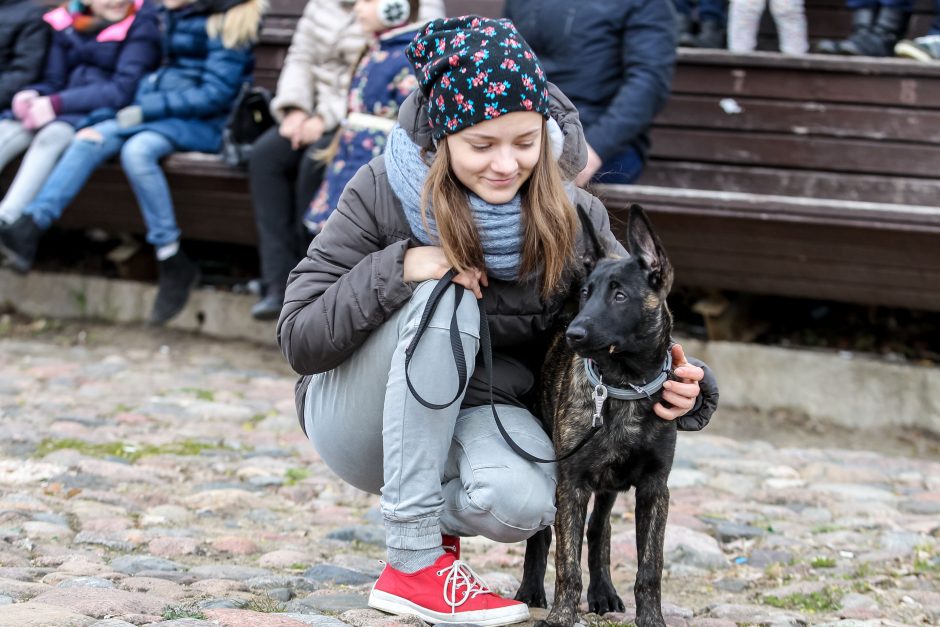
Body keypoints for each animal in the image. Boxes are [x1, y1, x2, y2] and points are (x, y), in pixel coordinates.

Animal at [516, 204, 676, 624]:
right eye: (586, 293)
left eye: (620, 296)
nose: (574, 333)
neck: (625, 386)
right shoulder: (571, 484)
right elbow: (566, 563)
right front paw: (561, 616)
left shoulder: (655, 488)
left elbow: (650, 567)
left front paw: (651, 619)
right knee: (543, 535)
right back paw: (530, 590)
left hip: (608, 486)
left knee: (599, 529)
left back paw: (603, 592)